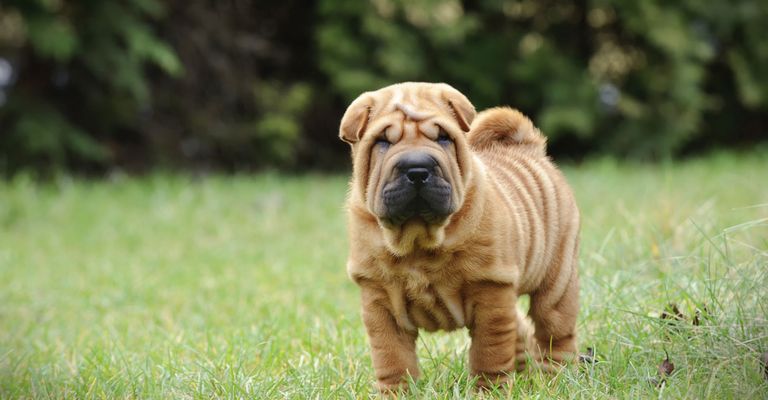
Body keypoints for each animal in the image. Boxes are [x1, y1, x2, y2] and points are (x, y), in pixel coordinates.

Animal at [340, 81, 580, 390]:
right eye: (383, 141)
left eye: (443, 137)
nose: (417, 169)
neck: (418, 239)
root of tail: (529, 148)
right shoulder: (379, 300)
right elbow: (392, 357)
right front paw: (397, 392)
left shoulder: (491, 288)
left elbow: (489, 351)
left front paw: (490, 391)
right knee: (521, 329)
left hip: (557, 278)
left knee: (554, 331)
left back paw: (558, 379)